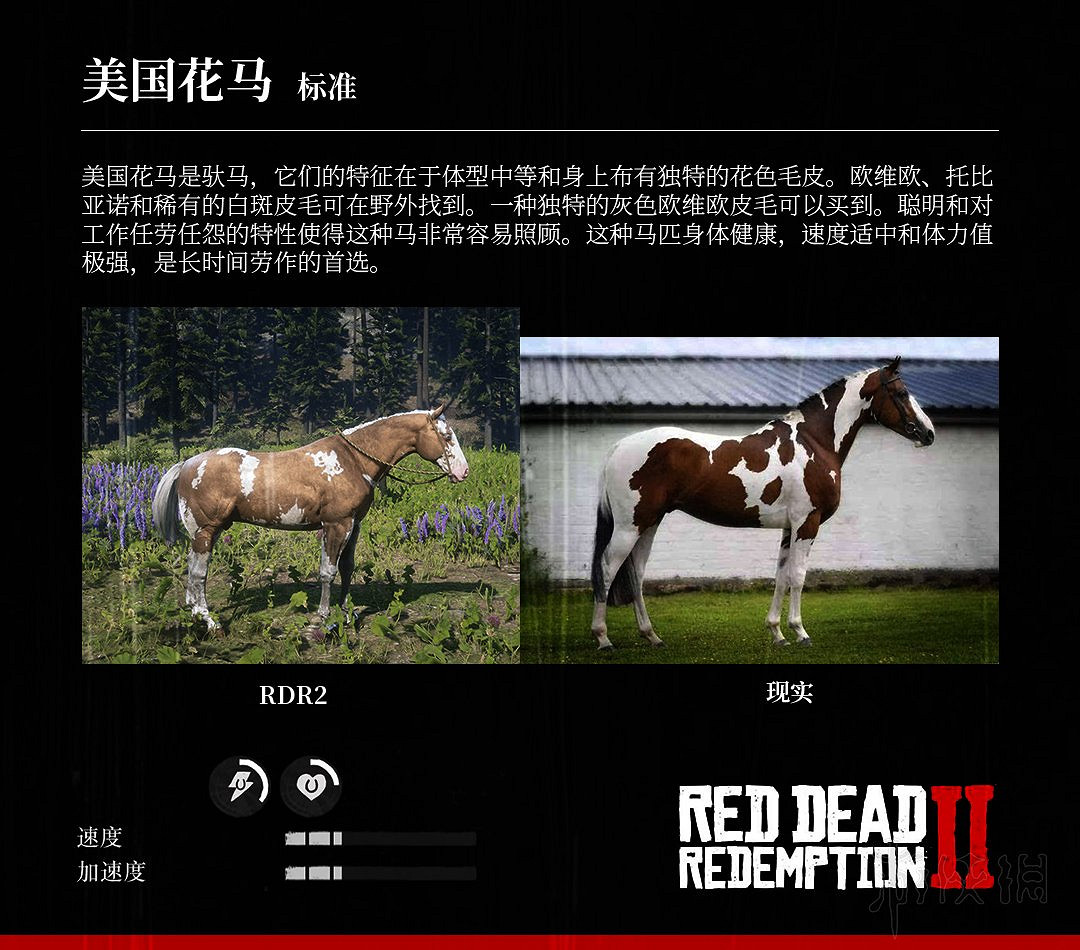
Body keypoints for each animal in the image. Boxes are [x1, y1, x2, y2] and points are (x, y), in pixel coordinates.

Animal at [151, 405, 470, 630]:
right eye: (447, 436)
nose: (463, 471)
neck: (353, 460)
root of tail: (187, 463)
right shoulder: (336, 525)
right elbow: (328, 571)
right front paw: (325, 615)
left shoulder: (354, 525)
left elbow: (347, 569)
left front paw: (347, 612)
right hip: (206, 531)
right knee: (198, 573)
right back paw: (209, 621)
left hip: (203, 533)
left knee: (192, 570)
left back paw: (194, 611)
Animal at [589, 357, 936, 649]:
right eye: (902, 393)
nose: (928, 433)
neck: (814, 442)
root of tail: (618, 447)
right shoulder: (806, 523)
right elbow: (798, 577)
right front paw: (801, 632)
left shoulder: (789, 527)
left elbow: (781, 577)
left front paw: (777, 633)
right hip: (630, 525)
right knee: (607, 568)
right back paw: (604, 639)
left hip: (649, 523)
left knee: (636, 574)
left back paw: (652, 636)